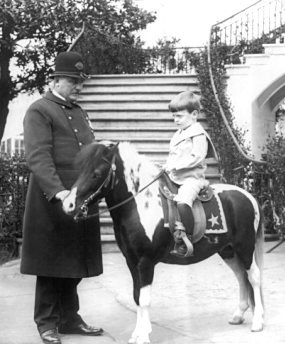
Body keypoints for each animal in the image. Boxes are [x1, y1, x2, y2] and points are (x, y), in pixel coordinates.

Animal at [62, 142, 264, 344]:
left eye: (96, 173)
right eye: (80, 170)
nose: (68, 205)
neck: (139, 205)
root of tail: (248, 196)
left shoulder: (145, 262)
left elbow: (144, 299)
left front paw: (143, 335)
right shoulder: (132, 262)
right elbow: (137, 296)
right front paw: (137, 333)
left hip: (245, 247)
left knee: (253, 277)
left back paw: (257, 322)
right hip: (227, 251)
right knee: (241, 277)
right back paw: (238, 315)